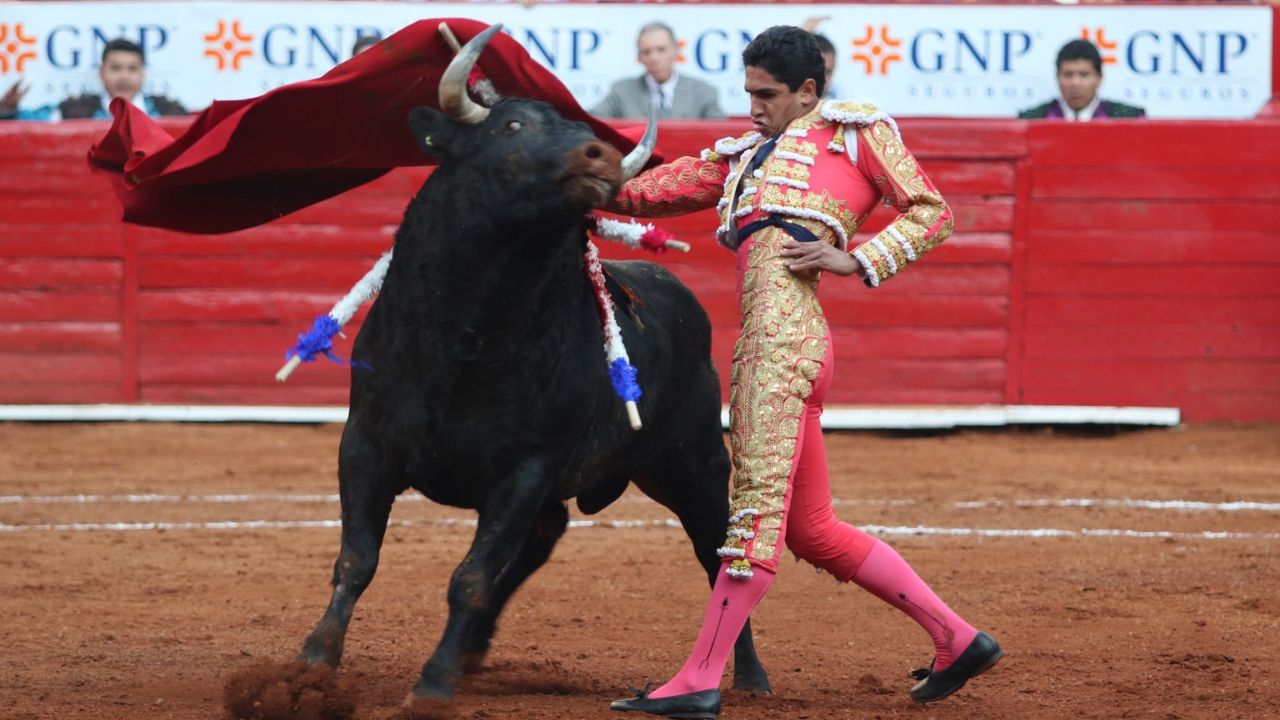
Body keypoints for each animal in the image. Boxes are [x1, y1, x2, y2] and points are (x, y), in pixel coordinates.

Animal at [247, 35, 768, 712]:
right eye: (512, 125)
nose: (600, 155)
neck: (467, 330)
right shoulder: (364, 445)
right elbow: (357, 560)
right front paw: (312, 665)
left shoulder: (526, 468)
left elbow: (469, 574)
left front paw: (433, 683)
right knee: (544, 536)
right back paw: (474, 649)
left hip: (694, 462)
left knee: (718, 556)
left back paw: (749, 677)